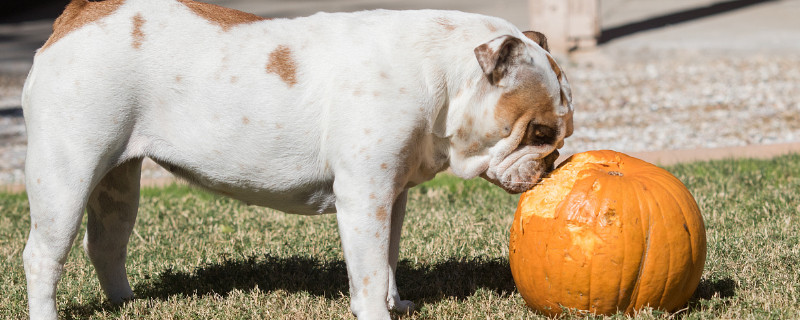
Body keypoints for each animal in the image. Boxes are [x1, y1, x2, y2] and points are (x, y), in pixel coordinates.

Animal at [21, 1, 572, 318]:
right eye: (540, 132)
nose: (553, 162)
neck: (442, 76)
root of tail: (78, 14)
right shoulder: (364, 198)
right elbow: (369, 272)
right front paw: (378, 311)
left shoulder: (391, 195)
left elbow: (389, 258)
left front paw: (398, 302)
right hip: (66, 174)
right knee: (44, 257)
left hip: (118, 182)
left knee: (106, 244)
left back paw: (127, 305)